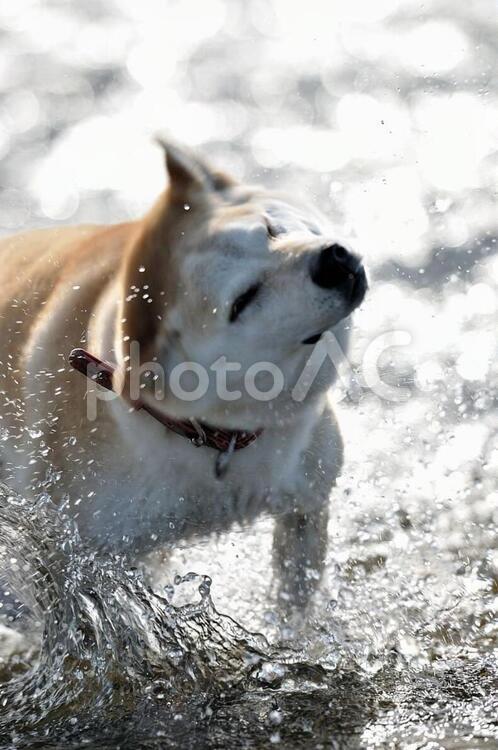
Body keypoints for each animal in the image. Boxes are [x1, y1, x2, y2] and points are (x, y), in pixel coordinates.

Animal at [0, 142, 366, 612]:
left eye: (270, 229)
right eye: (243, 300)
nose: (332, 260)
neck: (205, 434)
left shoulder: (307, 498)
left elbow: (296, 596)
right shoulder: (79, 549)